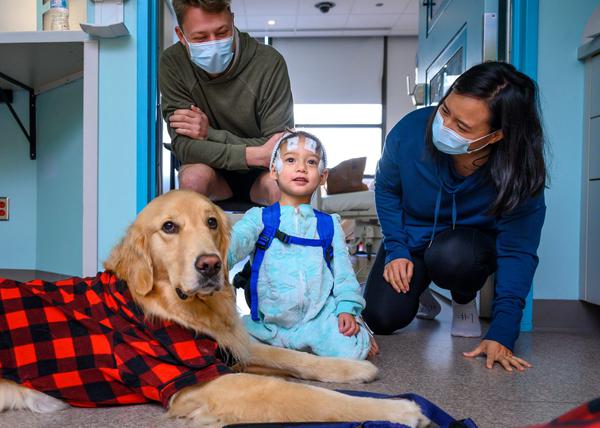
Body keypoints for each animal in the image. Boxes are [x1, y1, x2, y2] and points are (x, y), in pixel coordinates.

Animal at [2, 191, 428, 428]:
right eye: (169, 227)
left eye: (211, 222)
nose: (209, 265)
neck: (173, 308)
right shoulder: (201, 379)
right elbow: (309, 396)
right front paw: (398, 410)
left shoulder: (230, 347)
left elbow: (294, 358)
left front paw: (353, 369)